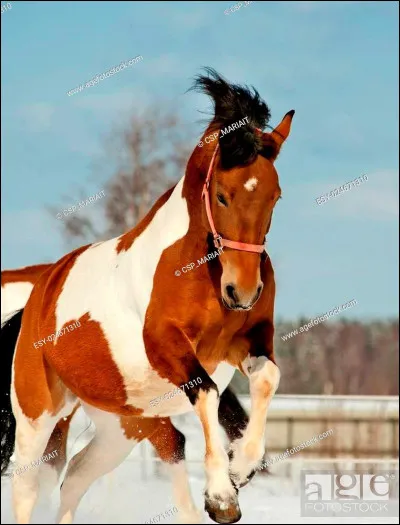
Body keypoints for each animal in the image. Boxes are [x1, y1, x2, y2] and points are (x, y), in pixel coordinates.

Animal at [0, 69, 294, 524]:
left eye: (274, 197)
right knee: (27, 488)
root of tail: (38, 294)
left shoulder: (248, 340)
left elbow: (267, 379)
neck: (199, 269)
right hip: (37, 415)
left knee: (74, 478)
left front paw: (242, 467)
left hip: (122, 426)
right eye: (222, 194)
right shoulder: (167, 346)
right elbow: (207, 393)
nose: (242, 292)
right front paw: (221, 496)